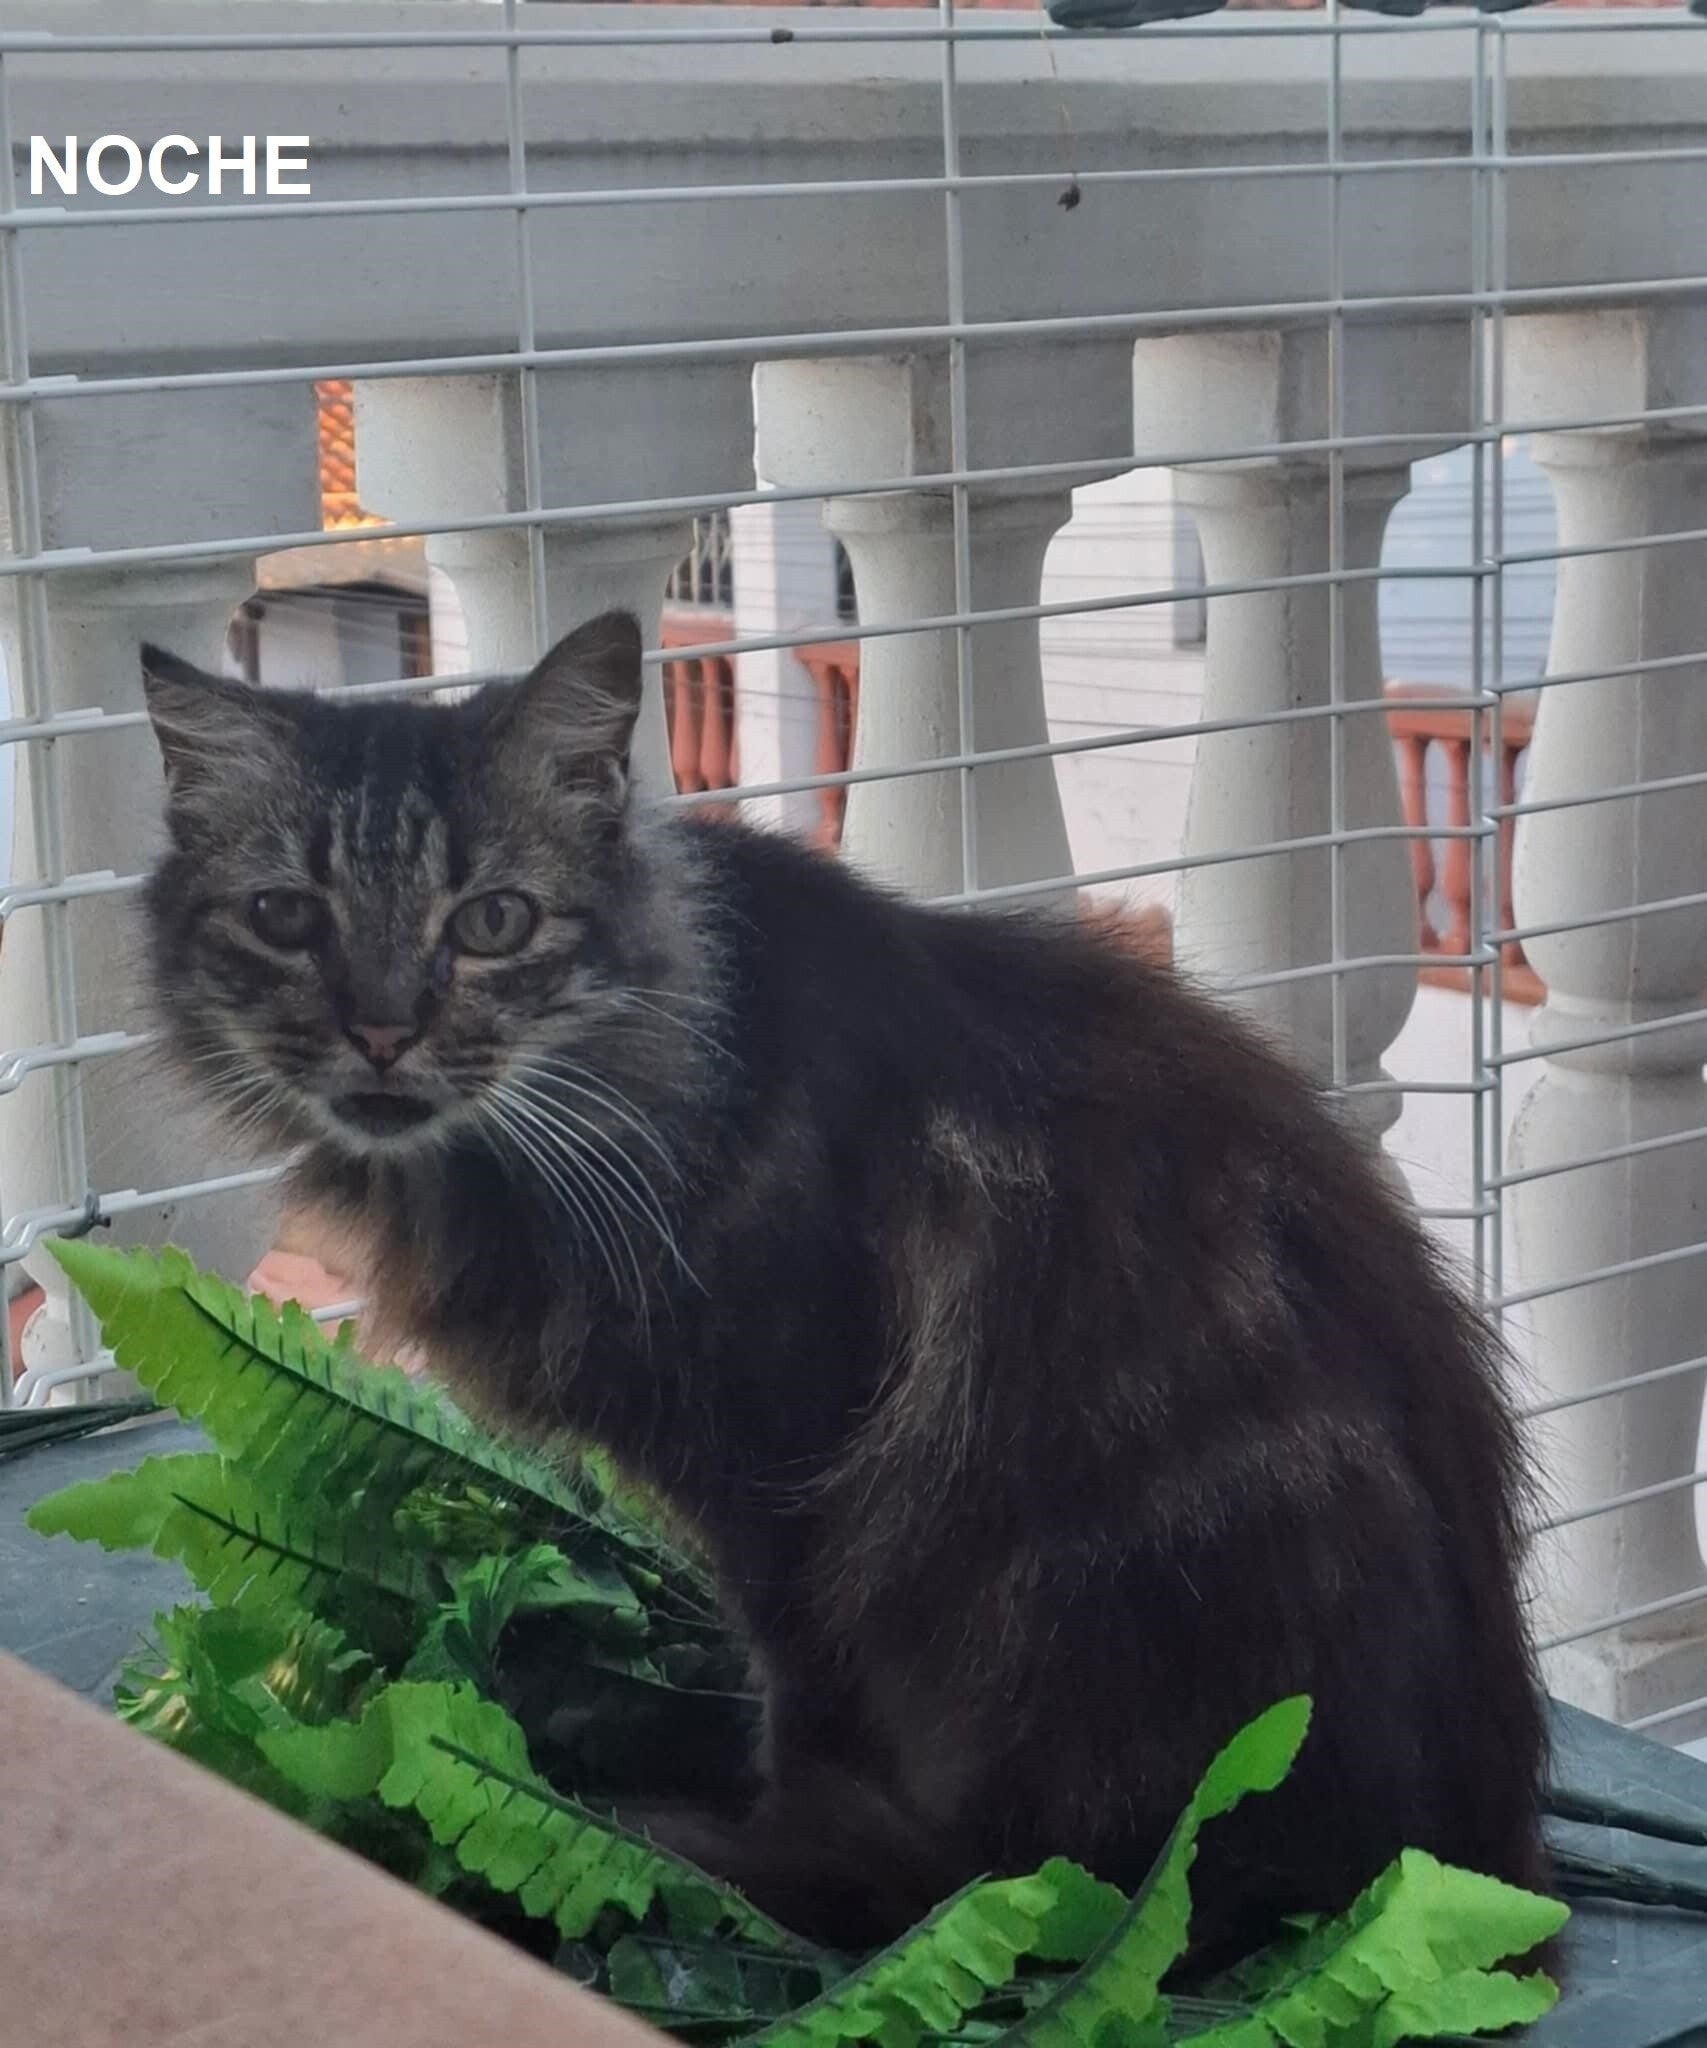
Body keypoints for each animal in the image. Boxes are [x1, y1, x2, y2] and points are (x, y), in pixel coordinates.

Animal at [139, 610, 1549, 1955]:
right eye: (285, 915)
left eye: (493, 920)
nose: (382, 1030)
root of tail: (1488, 1851)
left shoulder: (790, 1471)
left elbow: (801, 1710)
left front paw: (734, 1849)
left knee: (1045, 1875)